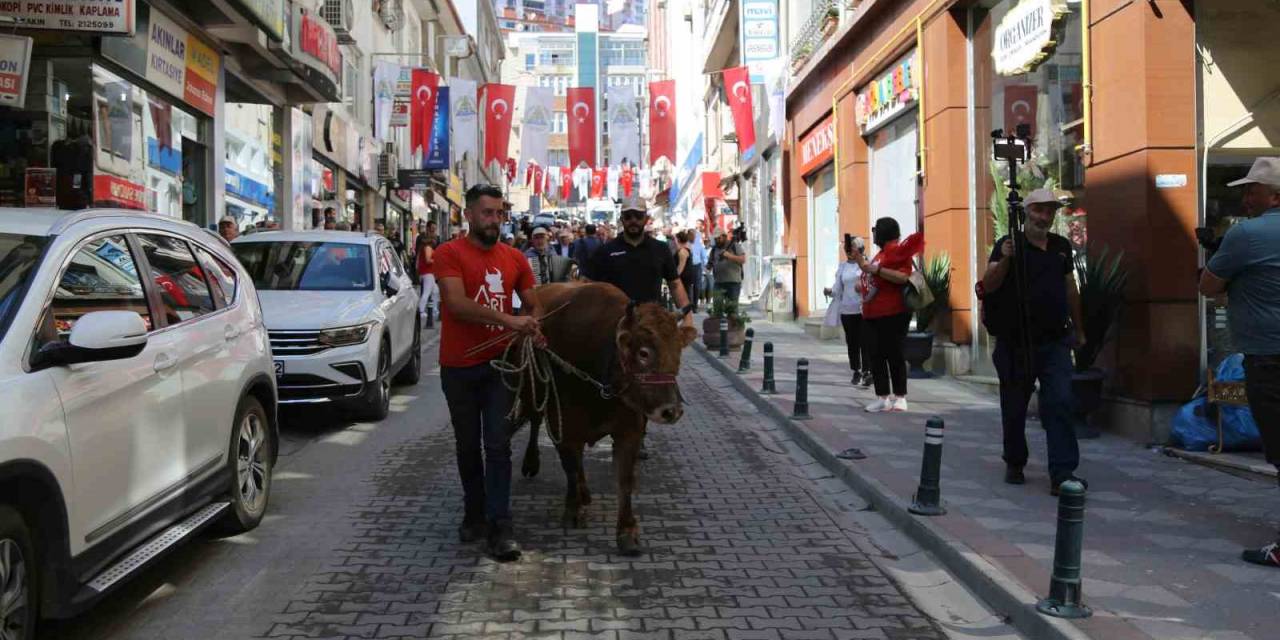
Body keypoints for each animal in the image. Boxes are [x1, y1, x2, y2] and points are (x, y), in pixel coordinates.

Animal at [509, 280, 696, 555]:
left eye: (678, 352)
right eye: (643, 353)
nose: (671, 410)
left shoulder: (630, 429)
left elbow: (625, 480)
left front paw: (627, 531)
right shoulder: (562, 425)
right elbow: (571, 467)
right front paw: (574, 509)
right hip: (533, 393)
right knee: (534, 421)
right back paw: (533, 464)